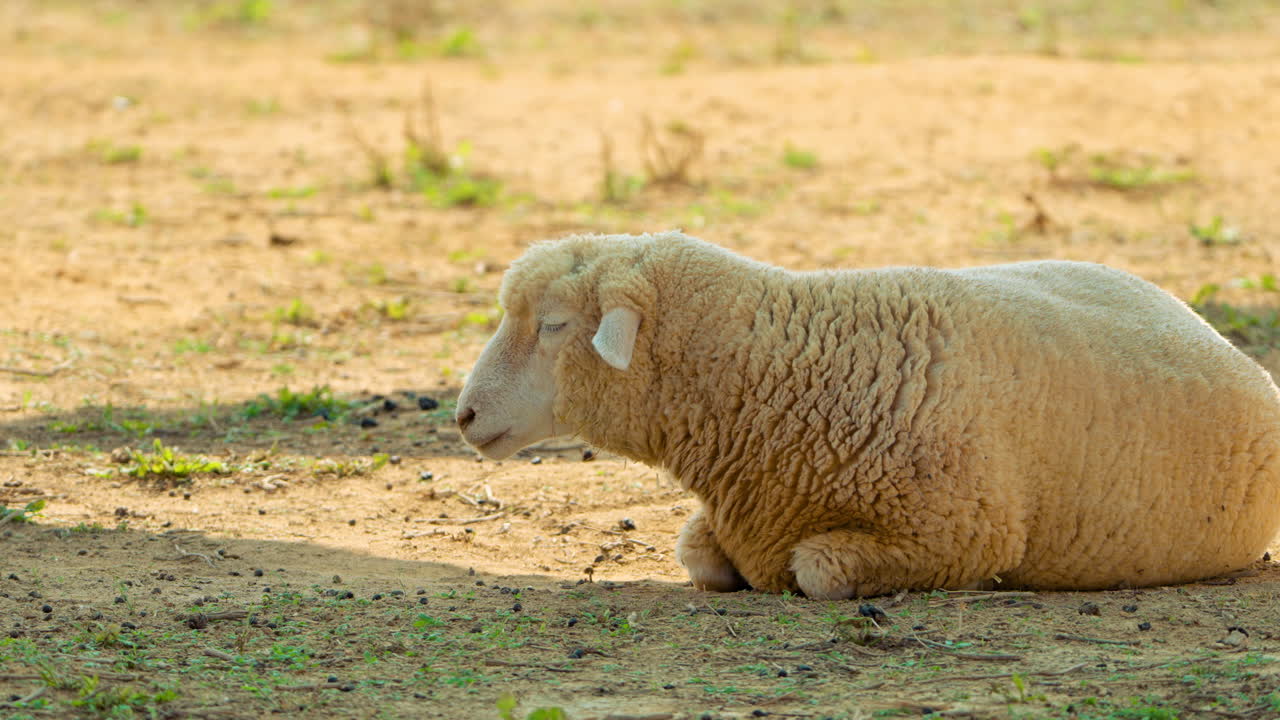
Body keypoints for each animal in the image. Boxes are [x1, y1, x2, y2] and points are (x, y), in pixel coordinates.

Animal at [455, 231, 1280, 599]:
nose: (462, 415)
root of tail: (1218, 335)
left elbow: (817, 571)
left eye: (554, 326)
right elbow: (700, 555)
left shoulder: (958, 534)